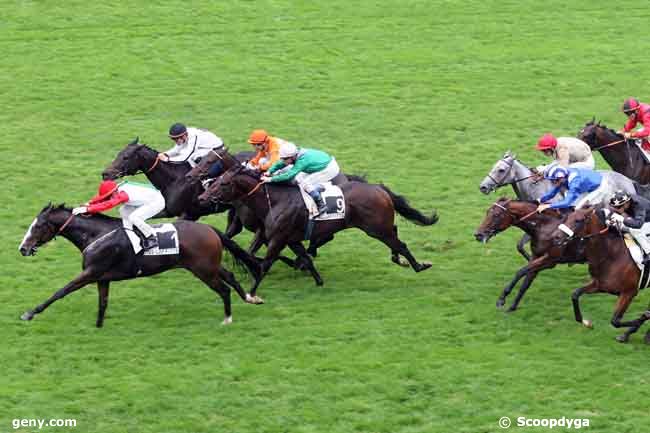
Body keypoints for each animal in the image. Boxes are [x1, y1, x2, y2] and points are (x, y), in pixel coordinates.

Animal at [20, 204, 264, 326]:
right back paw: (250, 298)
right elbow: (103, 303)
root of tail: (210, 229)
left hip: (203, 270)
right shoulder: (102, 277)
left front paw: (30, 313)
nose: (23, 248)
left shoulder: (91, 273)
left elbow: (61, 291)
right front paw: (98, 326)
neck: (96, 235)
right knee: (230, 276)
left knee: (223, 289)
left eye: (38, 226)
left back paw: (227, 318)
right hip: (209, 265)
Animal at [194, 157, 436, 296]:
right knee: (395, 237)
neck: (275, 200)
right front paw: (318, 281)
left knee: (400, 243)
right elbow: (305, 259)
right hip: (380, 226)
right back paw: (399, 259)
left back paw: (418, 265)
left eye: (224, 183)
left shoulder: (277, 239)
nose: (202, 197)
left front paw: (251, 292)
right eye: (216, 180)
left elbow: (265, 264)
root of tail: (378, 187)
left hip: (376, 228)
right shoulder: (291, 239)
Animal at [552, 204, 648, 342]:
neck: (611, 255)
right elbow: (575, 294)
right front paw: (587, 323)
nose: (556, 237)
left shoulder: (629, 292)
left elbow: (615, 321)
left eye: (578, 220)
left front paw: (641, 319)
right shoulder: (600, 285)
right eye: (567, 217)